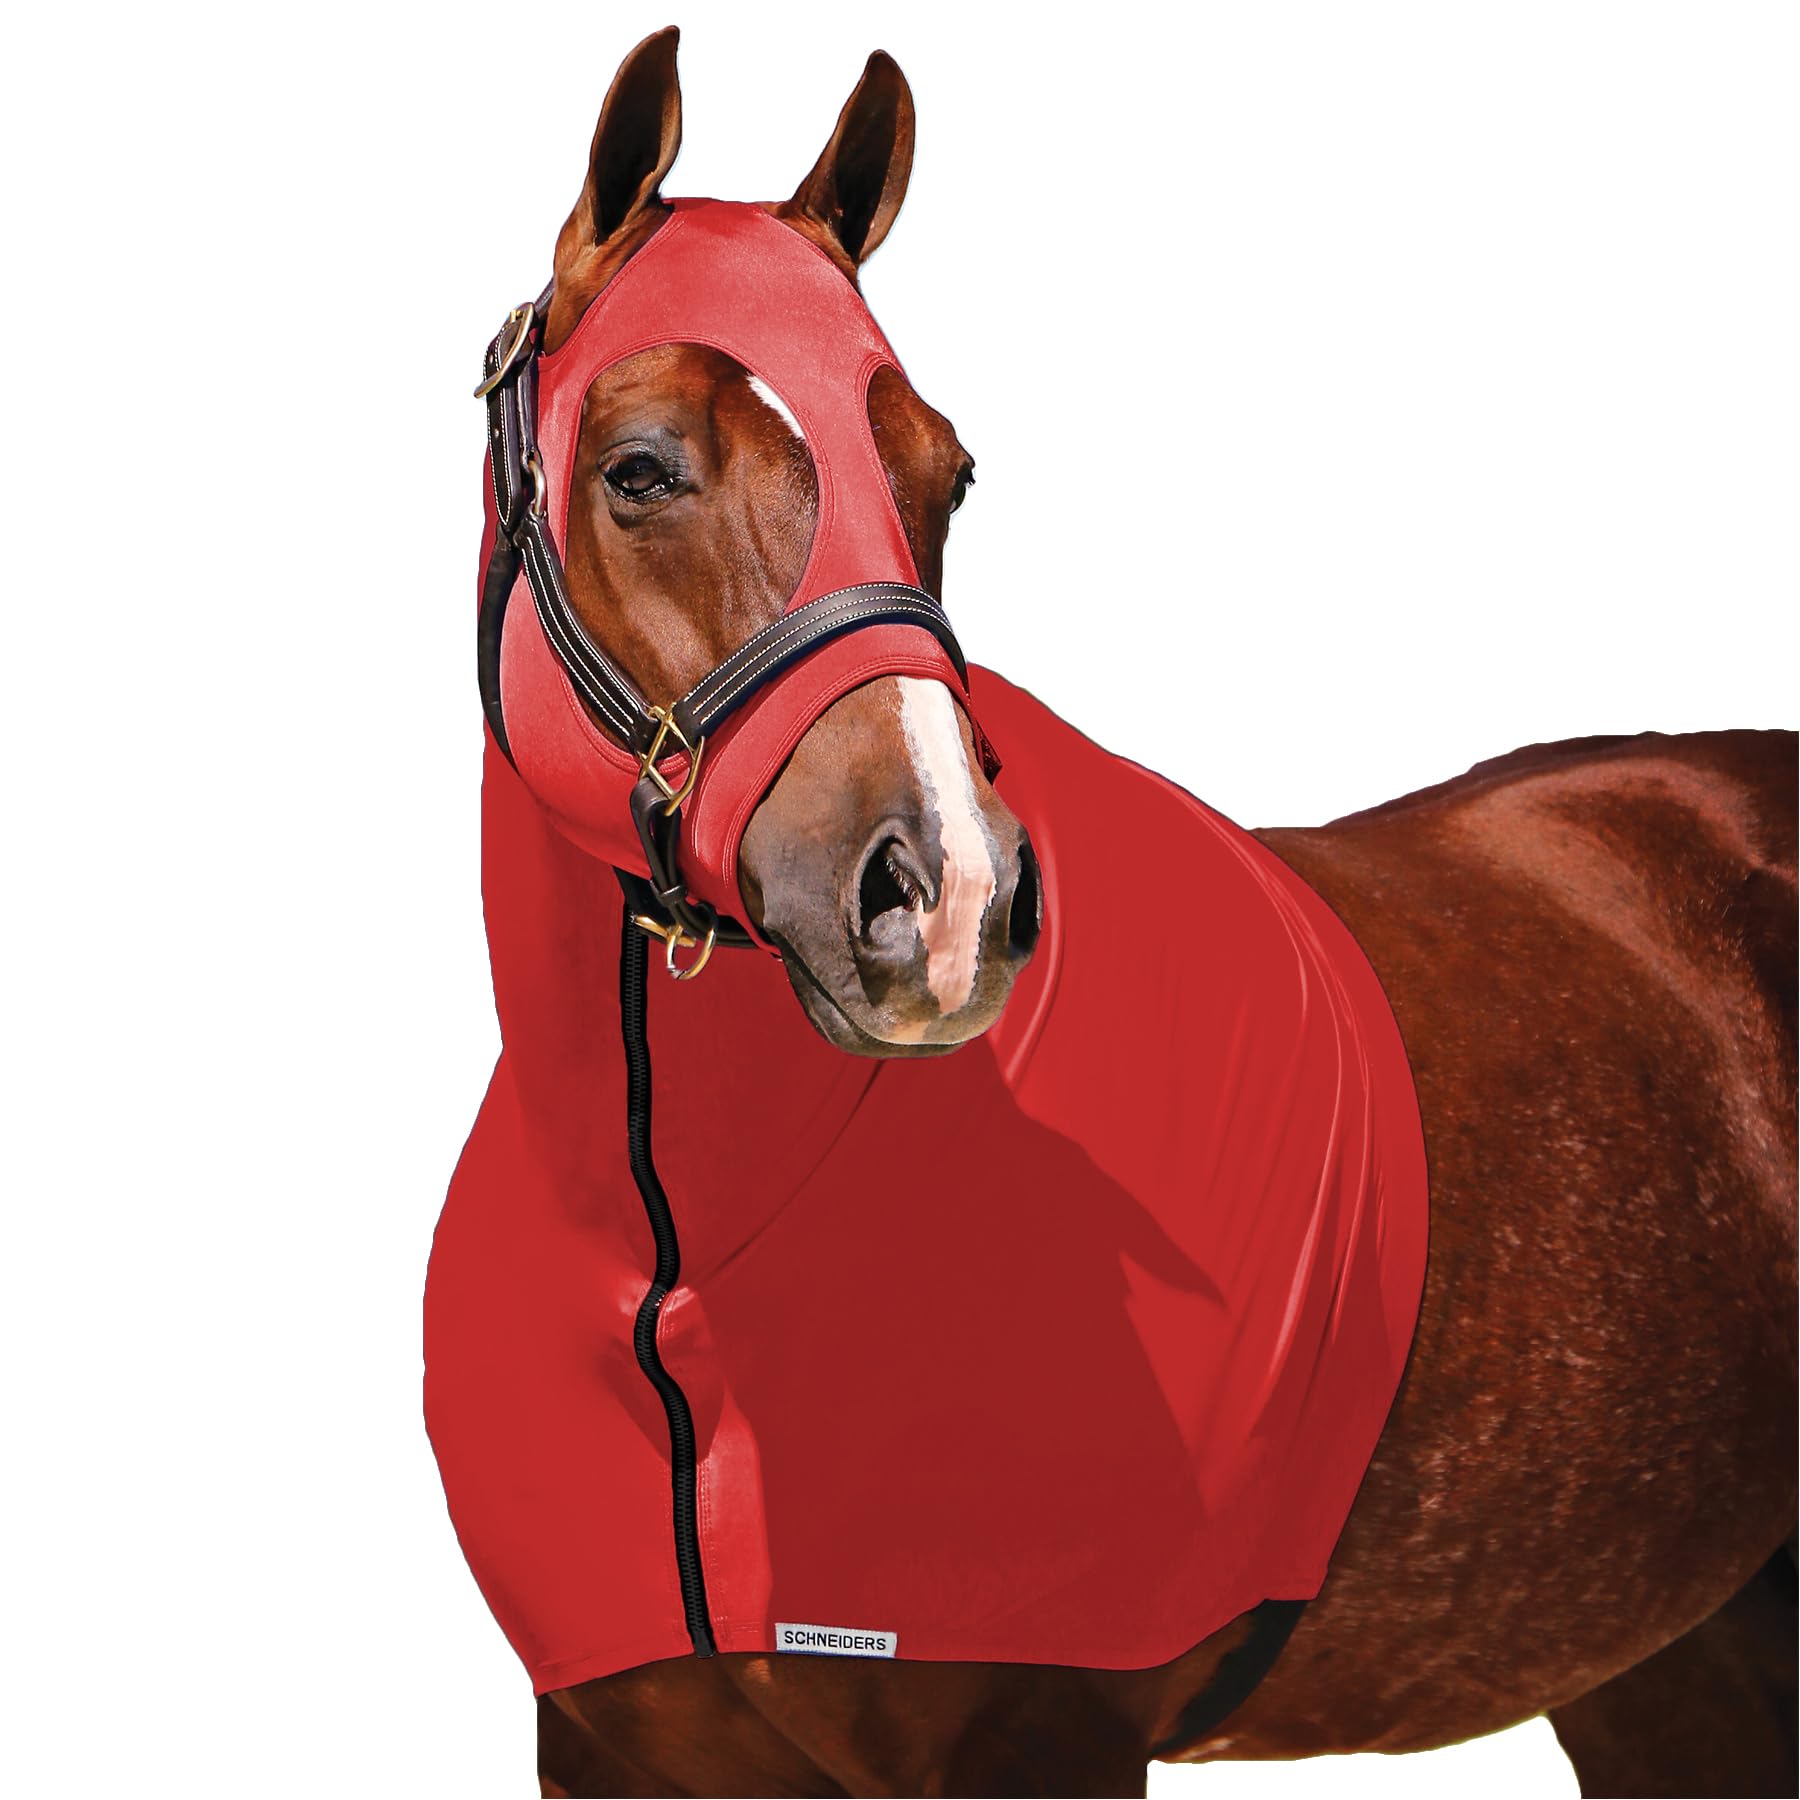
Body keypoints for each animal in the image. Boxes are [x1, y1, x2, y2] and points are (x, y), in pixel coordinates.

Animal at [435, 29, 1797, 1797]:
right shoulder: (614, 1749)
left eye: (945, 475)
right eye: (640, 469)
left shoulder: (1044, 1735)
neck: (686, 1258)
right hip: (1674, 1658)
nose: (945, 895)